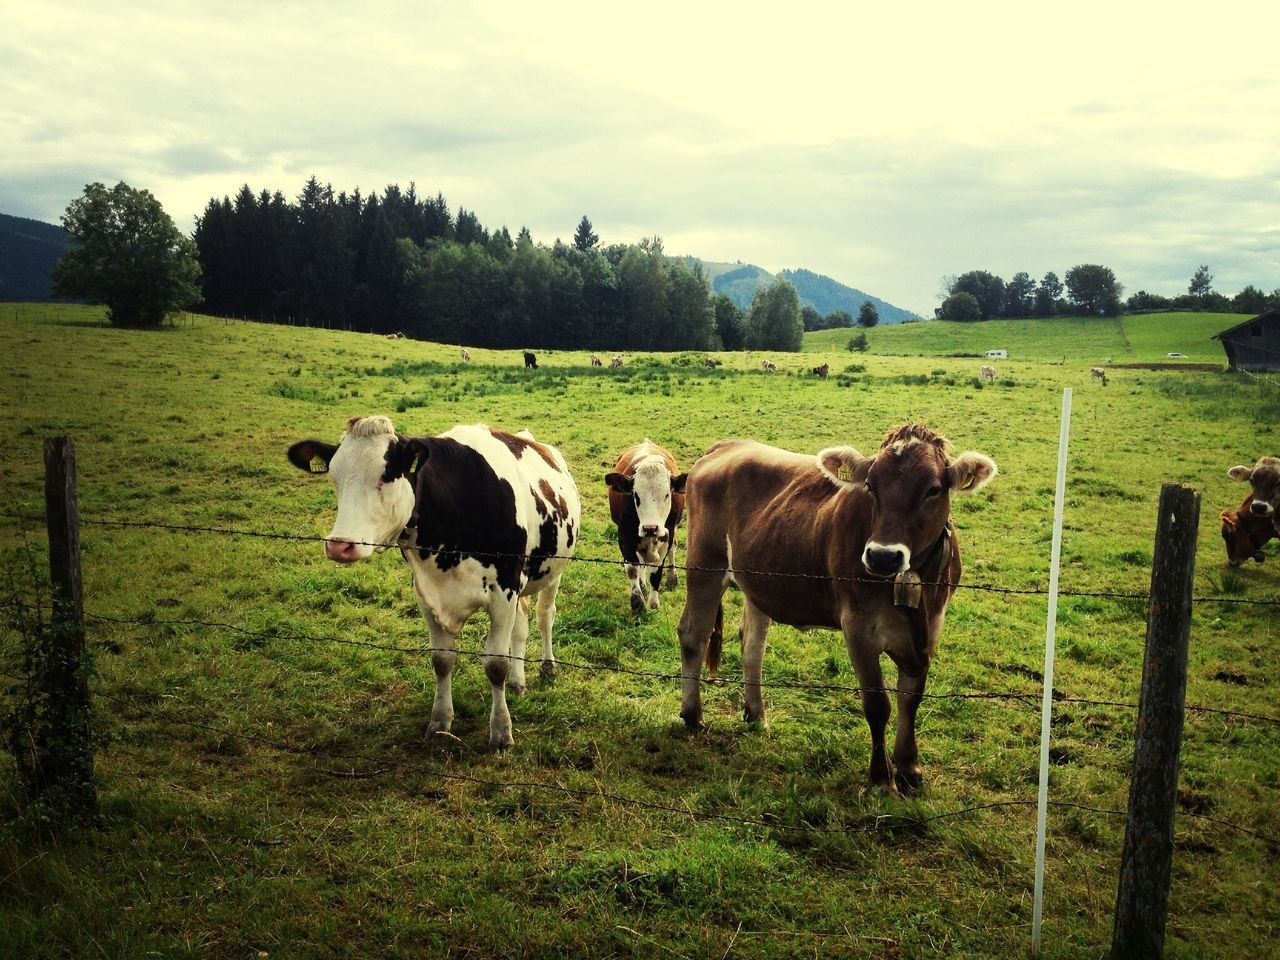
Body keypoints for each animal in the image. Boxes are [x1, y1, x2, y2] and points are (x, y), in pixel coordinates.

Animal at [604, 442, 686, 616]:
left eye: (667, 495)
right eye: (636, 495)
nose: (650, 528)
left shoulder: (667, 536)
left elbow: (656, 572)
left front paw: (654, 603)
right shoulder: (624, 536)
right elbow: (633, 568)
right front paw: (638, 603)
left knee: (673, 549)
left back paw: (672, 577)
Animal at [675, 424, 993, 793]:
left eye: (934, 489)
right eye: (870, 485)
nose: (883, 556)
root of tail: (727, 446)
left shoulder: (932, 627)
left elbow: (910, 699)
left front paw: (909, 767)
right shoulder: (857, 625)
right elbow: (878, 704)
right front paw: (882, 778)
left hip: (757, 581)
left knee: (752, 645)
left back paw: (757, 715)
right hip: (704, 564)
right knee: (693, 635)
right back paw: (693, 714)